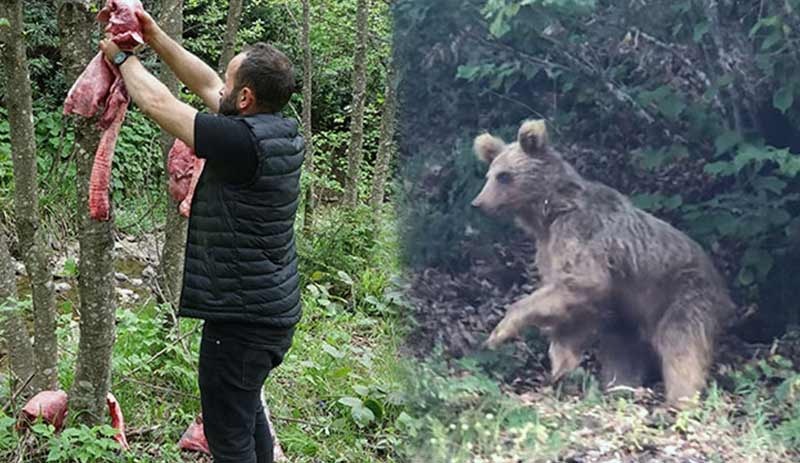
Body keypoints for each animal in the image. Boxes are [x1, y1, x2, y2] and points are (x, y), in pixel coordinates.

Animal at [472, 120, 736, 406]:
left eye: (504, 175)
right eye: (489, 175)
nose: (478, 203)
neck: (550, 213)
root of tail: (724, 289)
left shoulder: (581, 235)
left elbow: (583, 282)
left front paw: (499, 332)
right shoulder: (550, 250)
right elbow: (569, 304)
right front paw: (561, 367)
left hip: (685, 294)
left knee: (681, 345)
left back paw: (679, 399)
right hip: (630, 314)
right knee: (623, 350)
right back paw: (619, 388)